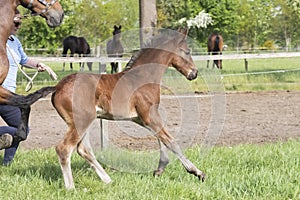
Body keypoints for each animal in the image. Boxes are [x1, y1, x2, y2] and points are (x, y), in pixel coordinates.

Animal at [25, 28, 205, 189]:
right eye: (187, 51)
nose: (194, 73)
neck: (142, 77)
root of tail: (57, 87)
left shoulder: (141, 118)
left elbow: (162, 138)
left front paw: (159, 170)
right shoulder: (149, 115)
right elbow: (171, 141)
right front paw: (197, 172)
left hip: (82, 122)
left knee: (83, 149)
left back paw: (107, 180)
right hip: (82, 122)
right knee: (64, 149)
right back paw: (71, 188)